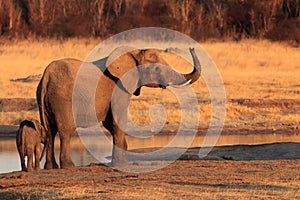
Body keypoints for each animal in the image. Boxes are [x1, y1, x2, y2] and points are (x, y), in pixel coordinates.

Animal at [37, 47, 202, 169]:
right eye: (156, 68)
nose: (191, 48)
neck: (134, 52)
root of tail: (46, 76)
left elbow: (110, 123)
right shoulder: (119, 88)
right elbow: (117, 121)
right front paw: (121, 164)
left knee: (50, 131)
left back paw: (51, 167)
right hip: (63, 99)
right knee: (65, 131)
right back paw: (69, 166)